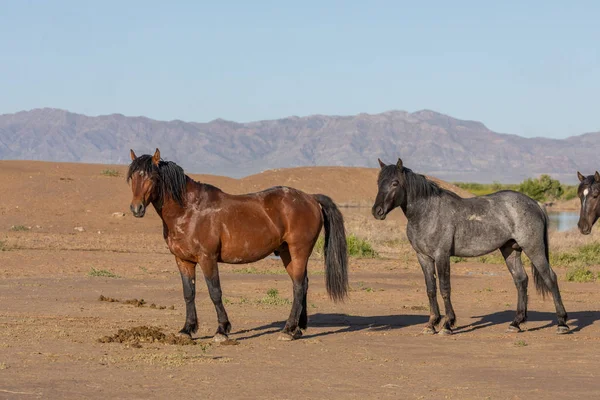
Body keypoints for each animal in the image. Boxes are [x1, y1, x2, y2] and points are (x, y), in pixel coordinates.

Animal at [129, 148, 350, 342]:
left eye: (152, 178)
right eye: (132, 178)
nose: (136, 208)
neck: (189, 211)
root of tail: (310, 198)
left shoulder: (207, 259)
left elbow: (215, 292)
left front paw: (222, 330)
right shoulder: (183, 260)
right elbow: (188, 293)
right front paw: (187, 329)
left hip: (299, 251)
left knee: (298, 286)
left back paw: (288, 330)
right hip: (287, 254)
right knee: (302, 283)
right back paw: (297, 329)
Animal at [372, 158, 568, 336]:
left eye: (395, 183)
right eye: (378, 182)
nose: (377, 211)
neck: (428, 212)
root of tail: (535, 204)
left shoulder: (441, 256)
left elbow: (444, 288)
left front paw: (447, 324)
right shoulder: (423, 257)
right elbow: (431, 289)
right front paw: (431, 324)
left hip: (534, 249)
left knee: (550, 278)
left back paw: (562, 323)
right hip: (510, 250)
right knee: (521, 280)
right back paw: (516, 323)